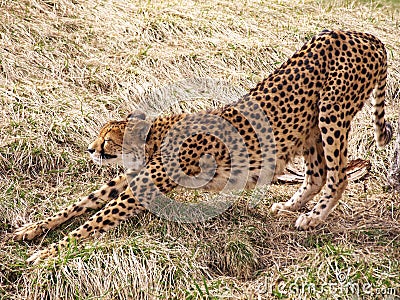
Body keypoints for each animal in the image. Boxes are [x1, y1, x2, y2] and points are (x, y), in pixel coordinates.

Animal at [14, 29, 392, 262]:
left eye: (106, 139)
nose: (91, 149)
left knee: (338, 176)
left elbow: (94, 220)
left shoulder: (145, 186)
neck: (153, 136)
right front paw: (32, 229)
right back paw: (289, 206)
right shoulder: (132, 178)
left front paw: (49, 254)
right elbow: (82, 203)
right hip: (309, 126)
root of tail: (365, 35)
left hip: (331, 114)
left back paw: (312, 218)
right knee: (317, 174)